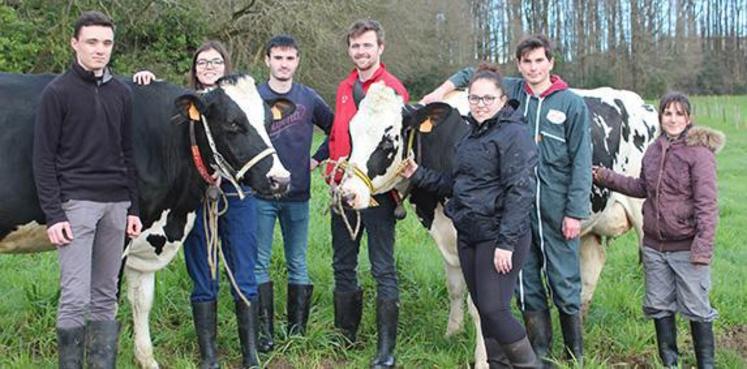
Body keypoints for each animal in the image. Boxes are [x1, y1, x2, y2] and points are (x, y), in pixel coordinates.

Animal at [0, 72, 292, 368]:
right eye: (233, 123)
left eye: (269, 122)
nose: (281, 180)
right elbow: (107, 306)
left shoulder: (146, 236)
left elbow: (142, 299)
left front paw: (146, 358)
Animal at [336, 82, 656, 366]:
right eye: (351, 134)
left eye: (388, 140)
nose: (347, 194)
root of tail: (642, 103)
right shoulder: (447, 234)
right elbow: (455, 287)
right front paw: (452, 333)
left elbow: (480, 305)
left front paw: (483, 359)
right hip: (586, 221)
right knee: (591, 267)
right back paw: (581, 324)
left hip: (643, 214)